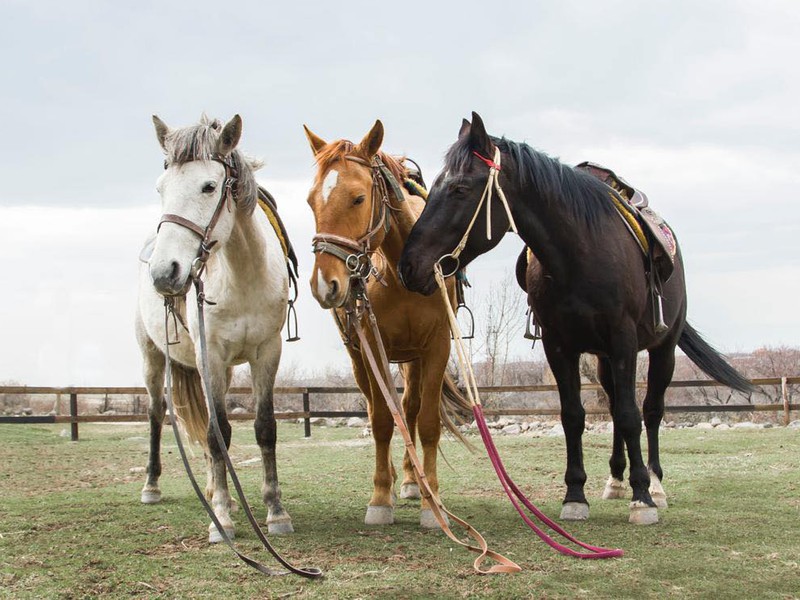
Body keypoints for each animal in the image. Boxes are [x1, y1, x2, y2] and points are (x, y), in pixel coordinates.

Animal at [136, 113, 296, 544]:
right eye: (160, 188)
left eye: (209, 186)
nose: (164, 272)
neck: (241, 275)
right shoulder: (212, 356)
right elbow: (216, 433)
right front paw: (221, 517)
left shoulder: (267, 352)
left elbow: (264, 428)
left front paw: (275, 511)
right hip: (153, 357)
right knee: (157, 413)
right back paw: (153, 486)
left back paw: (211, 489)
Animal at [304, 122, 468, 528]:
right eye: (312, 201)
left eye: (358, 198)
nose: (325, 284)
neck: (401, 272)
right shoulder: (371, 348)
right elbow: (380, 421)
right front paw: (380, 497)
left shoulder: (436, 348)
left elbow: (426, 422)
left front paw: (431, 501)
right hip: (359, 357)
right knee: (379, 407)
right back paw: (395, 482)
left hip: (412, 359)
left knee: (409, 408)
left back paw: (411, 481)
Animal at [404, 112, 752, 524]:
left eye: (459, 188)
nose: (408, 265)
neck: (580, 253)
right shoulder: (560, 346)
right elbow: (574, 415)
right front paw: (575, 495)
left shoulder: (624, 342)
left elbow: (632, 415)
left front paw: (642, 498)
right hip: (603, 359)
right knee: (616, 407)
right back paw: (616, 480)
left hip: (662, 350)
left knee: (651, 411)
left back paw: (654, 484)